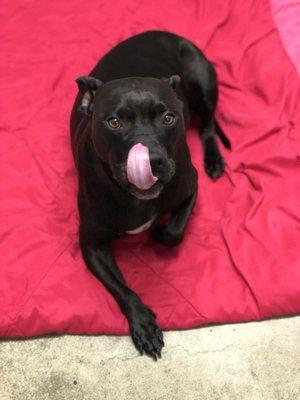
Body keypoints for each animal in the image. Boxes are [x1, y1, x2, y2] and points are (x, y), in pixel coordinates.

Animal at [69, 30, 230, 360]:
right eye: (114, 121)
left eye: (168, 118)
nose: (151, 160)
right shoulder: (92, 245)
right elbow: (122, 289)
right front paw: (143, 323)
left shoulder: (190, 187)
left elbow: (175, 232)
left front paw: (158, 233)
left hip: (203, 83)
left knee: (208, 125)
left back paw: (214, 159)